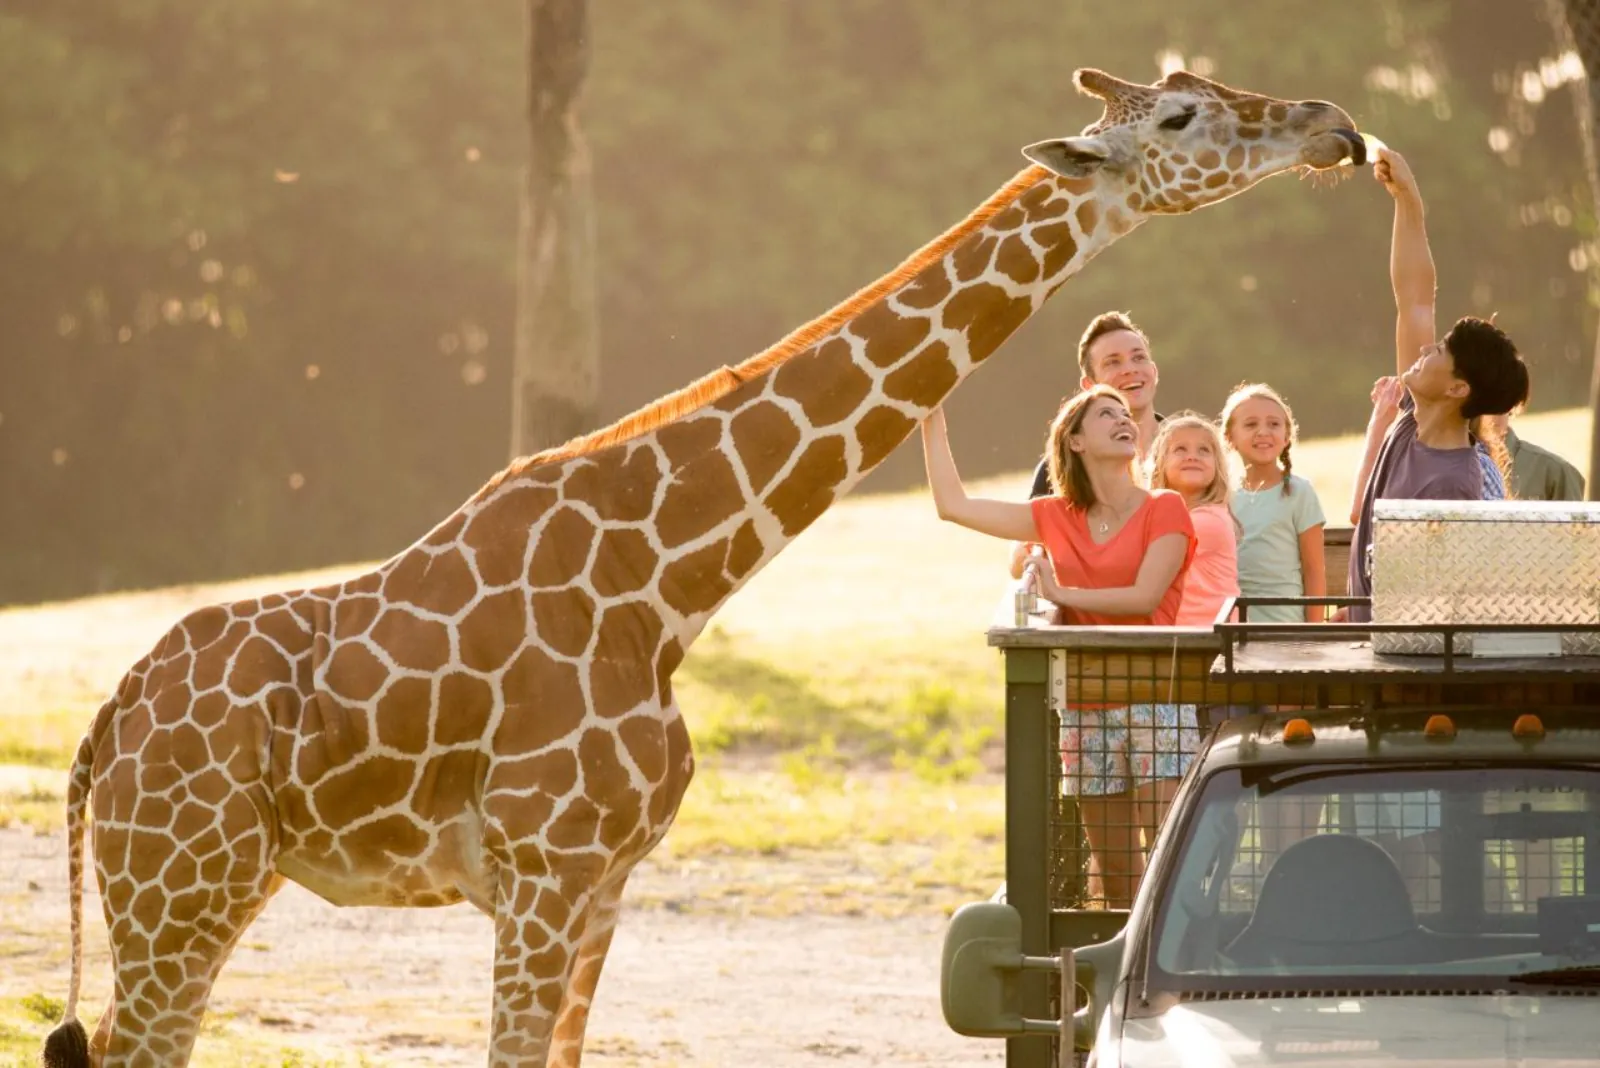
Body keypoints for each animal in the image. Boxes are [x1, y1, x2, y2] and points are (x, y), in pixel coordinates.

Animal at [41, 68, 1363, 1068]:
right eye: (1179, 118)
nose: (1332, 125)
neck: (665, 581)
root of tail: (105, 728)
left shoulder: (601, 888)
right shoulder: (541, 873)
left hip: (206, 886)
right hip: (179, 886)